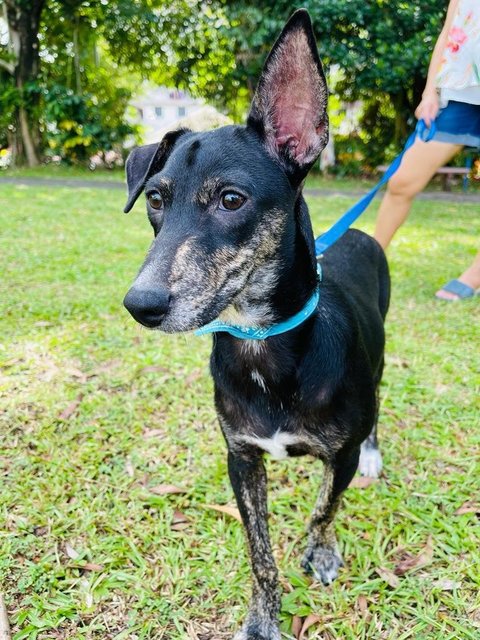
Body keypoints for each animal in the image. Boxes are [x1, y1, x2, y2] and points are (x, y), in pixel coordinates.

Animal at [122, 10, 388, 640]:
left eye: (231, 199)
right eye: (155, 201)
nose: (140, 303)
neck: (262, 345)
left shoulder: (336, 457)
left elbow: (323, 507)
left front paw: (320, 551)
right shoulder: (240, 457)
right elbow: (259, 552)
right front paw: (264, 615)